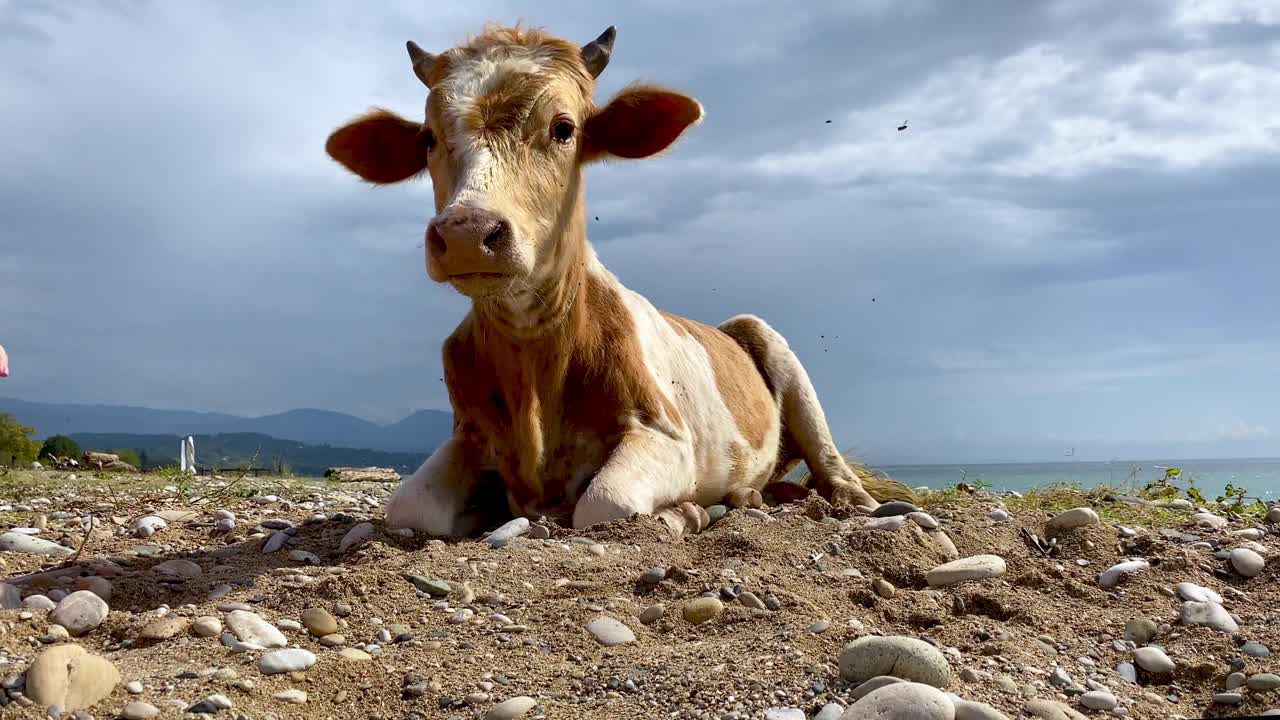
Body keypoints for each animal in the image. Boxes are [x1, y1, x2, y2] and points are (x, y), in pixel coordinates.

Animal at [320, 22, 901, 535]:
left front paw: (682, 512)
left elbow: (606, 500)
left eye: (564, 128)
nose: (466, 231)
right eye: (428, 138)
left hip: (773, 345)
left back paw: (846, 500)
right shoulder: (468, 433)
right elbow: (411, 506)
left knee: (829, 460)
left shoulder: (666, 432)